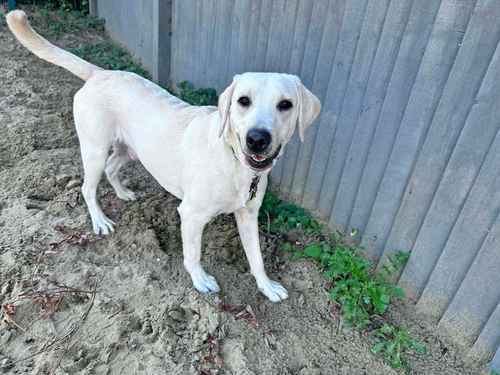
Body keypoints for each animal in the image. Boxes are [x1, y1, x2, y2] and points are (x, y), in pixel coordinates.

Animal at [6, 10, 320, 302]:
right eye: (243, 101)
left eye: (286, 104)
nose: (257, 139)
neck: (234, 162)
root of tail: (100, 73)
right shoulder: (191, 215)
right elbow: (193, 254)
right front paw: (200, 280)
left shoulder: (248, 215)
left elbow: (257, 258)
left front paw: (266, 286)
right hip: (94, 149)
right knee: (87, 187)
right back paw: (100, 221)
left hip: (130, 151)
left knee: (111, 168)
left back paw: (123, 193)